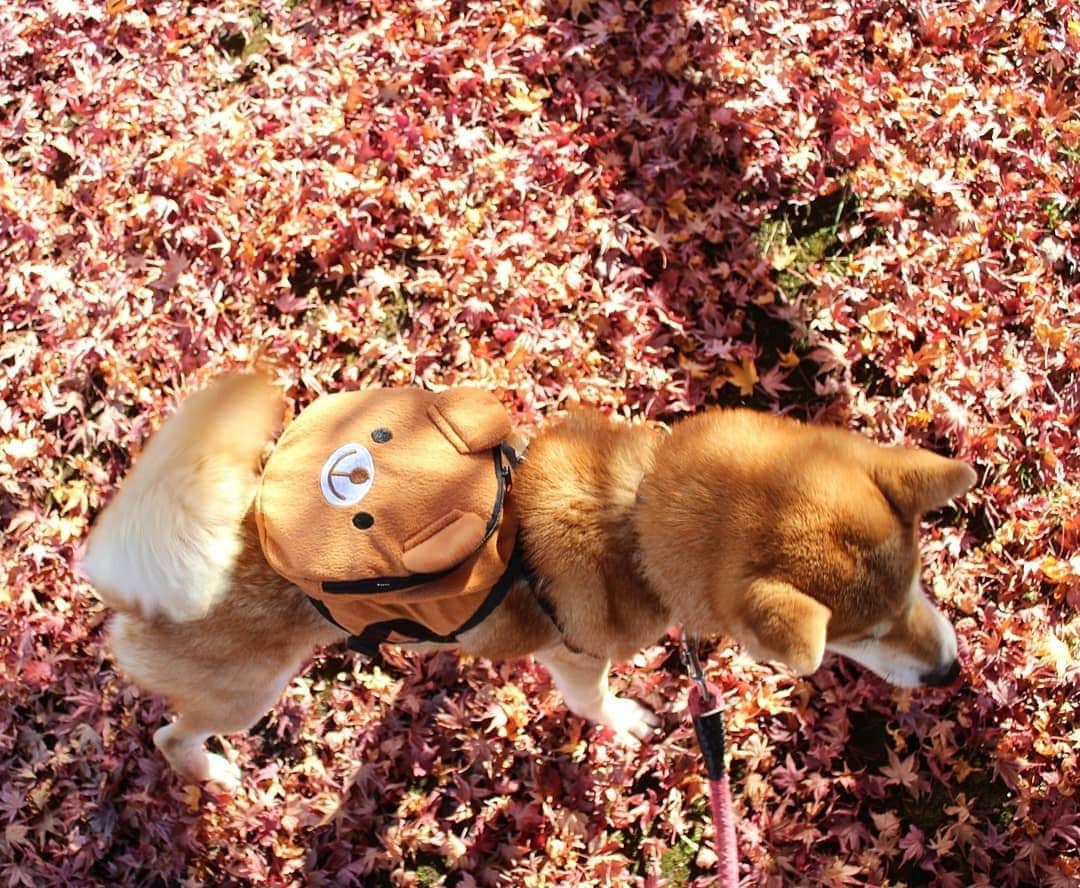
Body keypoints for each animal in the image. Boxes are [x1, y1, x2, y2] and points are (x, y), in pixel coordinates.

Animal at [78, 371, 972, 790]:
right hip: (249, 693)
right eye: (860, 637)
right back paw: (213, 773)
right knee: (170, 737)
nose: (948, 672)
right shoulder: (574, 660)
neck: (634, 516)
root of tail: (123, 582)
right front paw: (624, 722)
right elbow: (595, 702)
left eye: (917, 586)